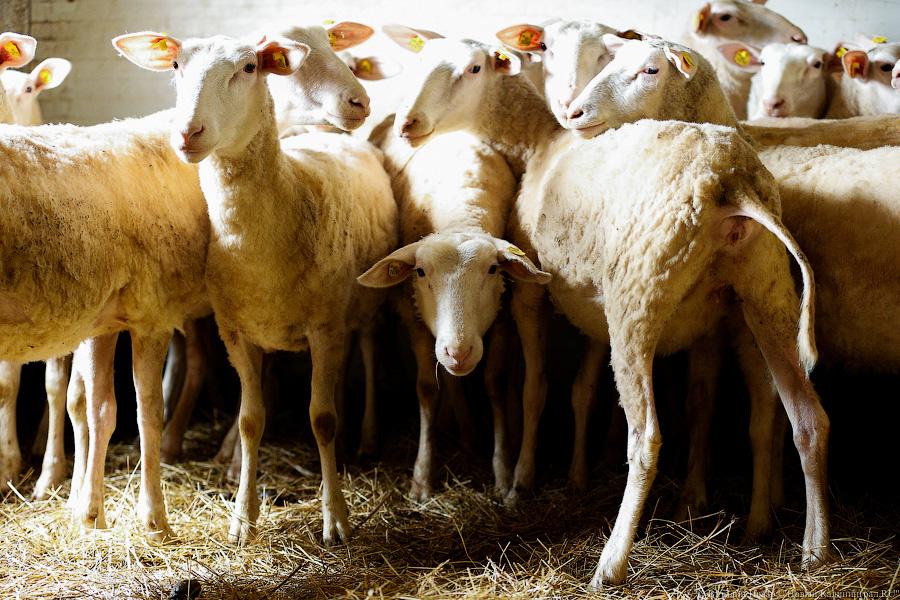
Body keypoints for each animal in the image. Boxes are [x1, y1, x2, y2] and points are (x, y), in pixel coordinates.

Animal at [115, 29, 397, 545]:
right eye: (175, 66)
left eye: (249, 68)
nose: (187, 133)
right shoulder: (236, 333)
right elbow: (250, 420)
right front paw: (243, 517)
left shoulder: (324, 327)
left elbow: (321, 419)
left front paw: (336, 517)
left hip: (366, 302)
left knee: (366, 349)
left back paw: (364, 434)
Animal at [359, 115, 548, 499]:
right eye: (420, 272)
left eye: (493, 270)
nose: (458, 351)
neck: (459, 215)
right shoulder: (414, 317)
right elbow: (427, 388)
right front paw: (421, 479)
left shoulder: (501, 318)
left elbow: (494, 383)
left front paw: (503, 472)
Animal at [388, 32, 828, 586]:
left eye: (472, 69)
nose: (406, 124)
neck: (539, 144)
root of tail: (732, 184)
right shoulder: (593, 308)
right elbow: (584, 390)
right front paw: (576, 475)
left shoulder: (533, 290)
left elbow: (536, 388)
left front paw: (520, 482)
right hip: (765, 292)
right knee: (808, 420)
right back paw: (812, 550)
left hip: (637, 298)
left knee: (646, 440)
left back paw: (611, 563)